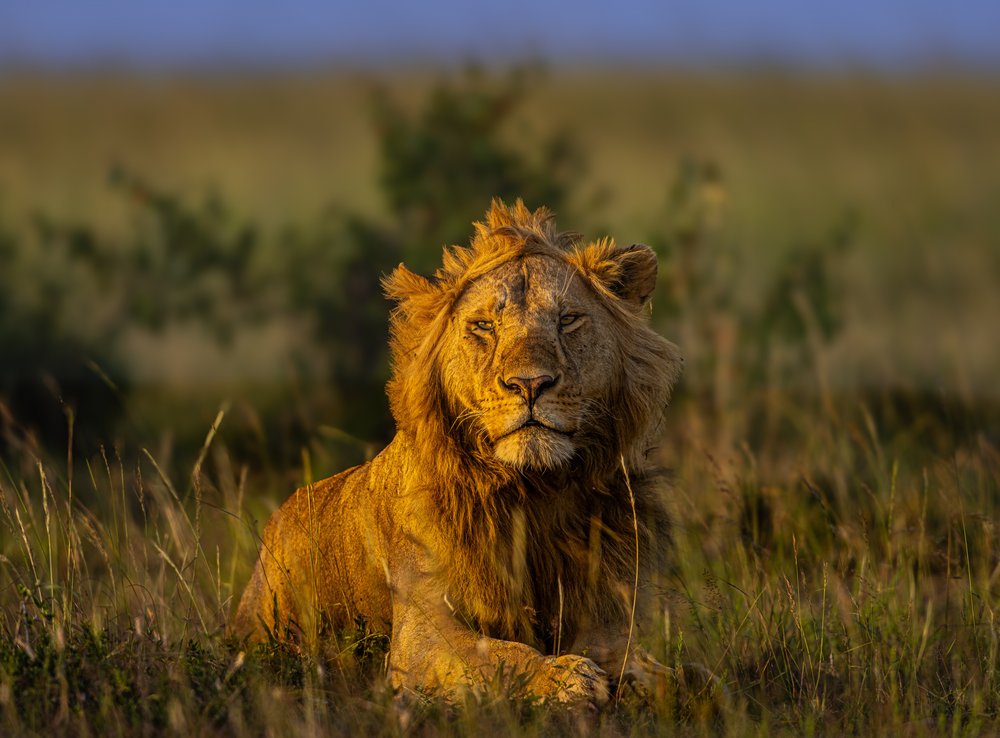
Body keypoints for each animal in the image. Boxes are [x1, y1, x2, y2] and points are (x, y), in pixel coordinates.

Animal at [233, 199, 686, 704]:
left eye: (568, 320)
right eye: (484, 326)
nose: (530, 384)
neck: (537, 490)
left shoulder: (605, 616)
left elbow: (650, 665)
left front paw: (671, 680)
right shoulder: (420, 635)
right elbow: (502, 654)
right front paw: (566, 676)